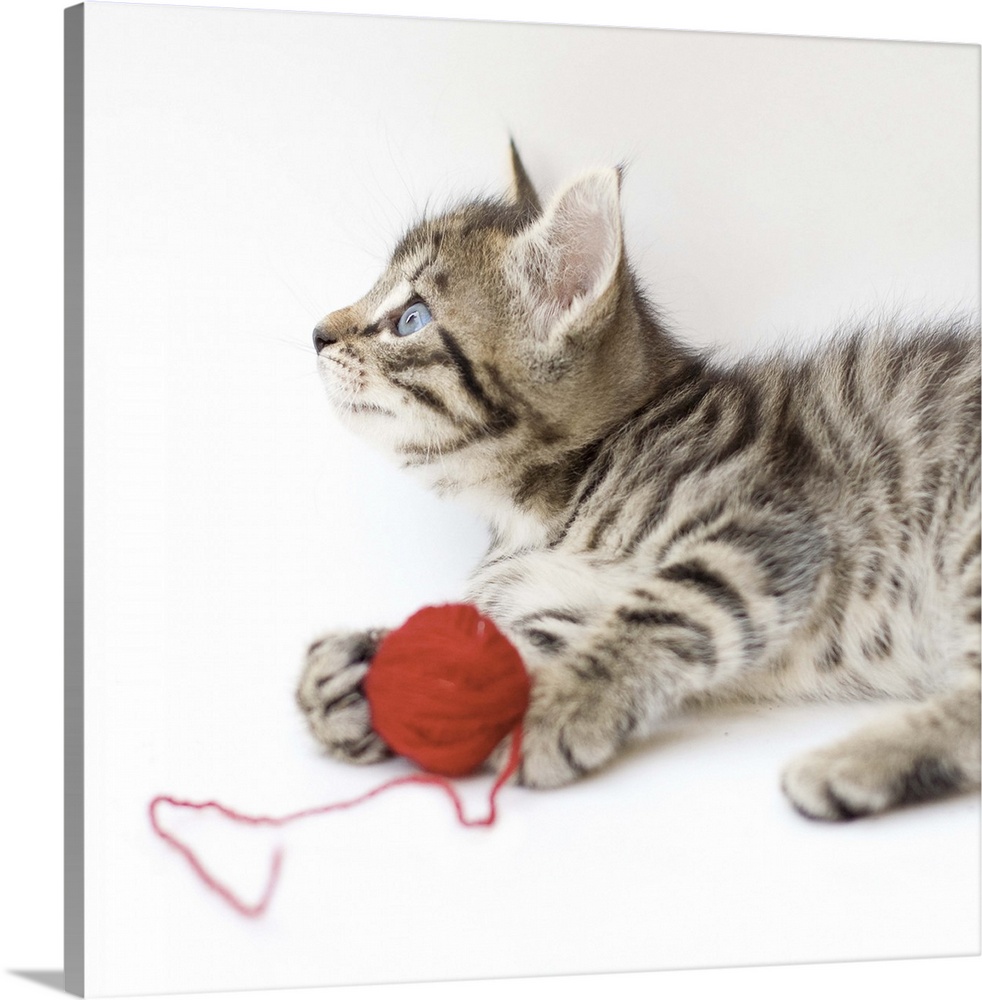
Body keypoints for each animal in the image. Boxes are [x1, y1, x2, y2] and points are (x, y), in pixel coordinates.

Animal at [296, 146, 980, 820]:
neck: (539, 511)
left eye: (410, 319)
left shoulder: (768, 524)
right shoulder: (555, 601)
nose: (317, 333)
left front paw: (561, 704)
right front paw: (354, 675)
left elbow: (663, 609)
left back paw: (849, 763)